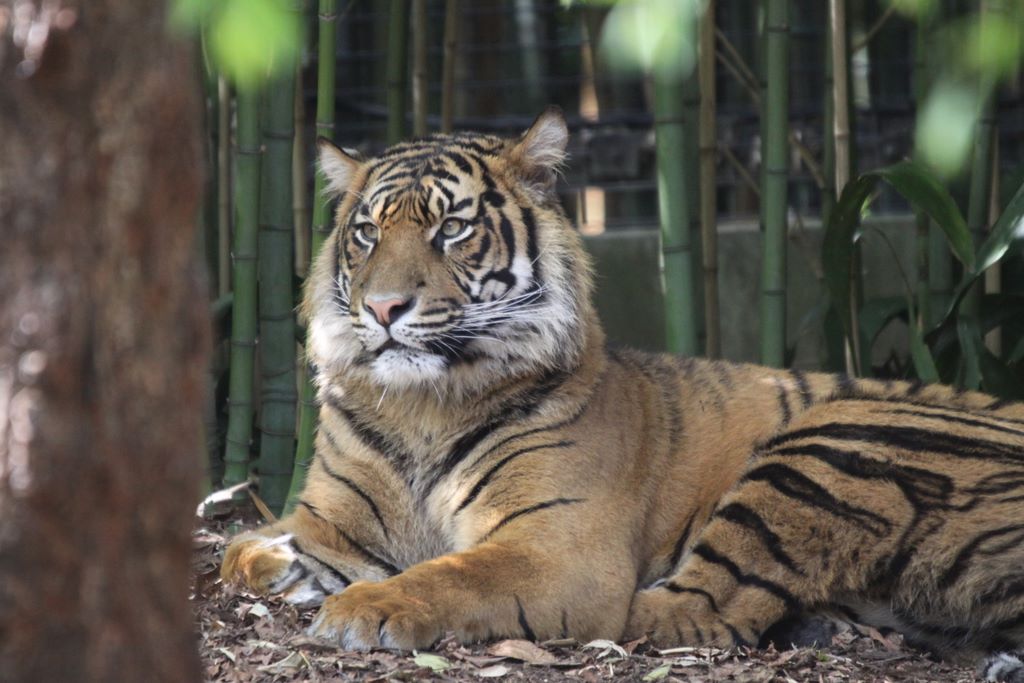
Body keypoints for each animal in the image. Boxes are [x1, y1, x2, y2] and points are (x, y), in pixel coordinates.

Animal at [221, 107, 1024, 681]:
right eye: (365, 234)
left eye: (451, 229)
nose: (384, 308)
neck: (422, 404)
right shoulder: (329, 521)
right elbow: (244, 549)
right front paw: (285, 567)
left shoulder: (560, 545)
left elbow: (453, 571)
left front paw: (362, 606)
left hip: (833, 438)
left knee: (694, 609)